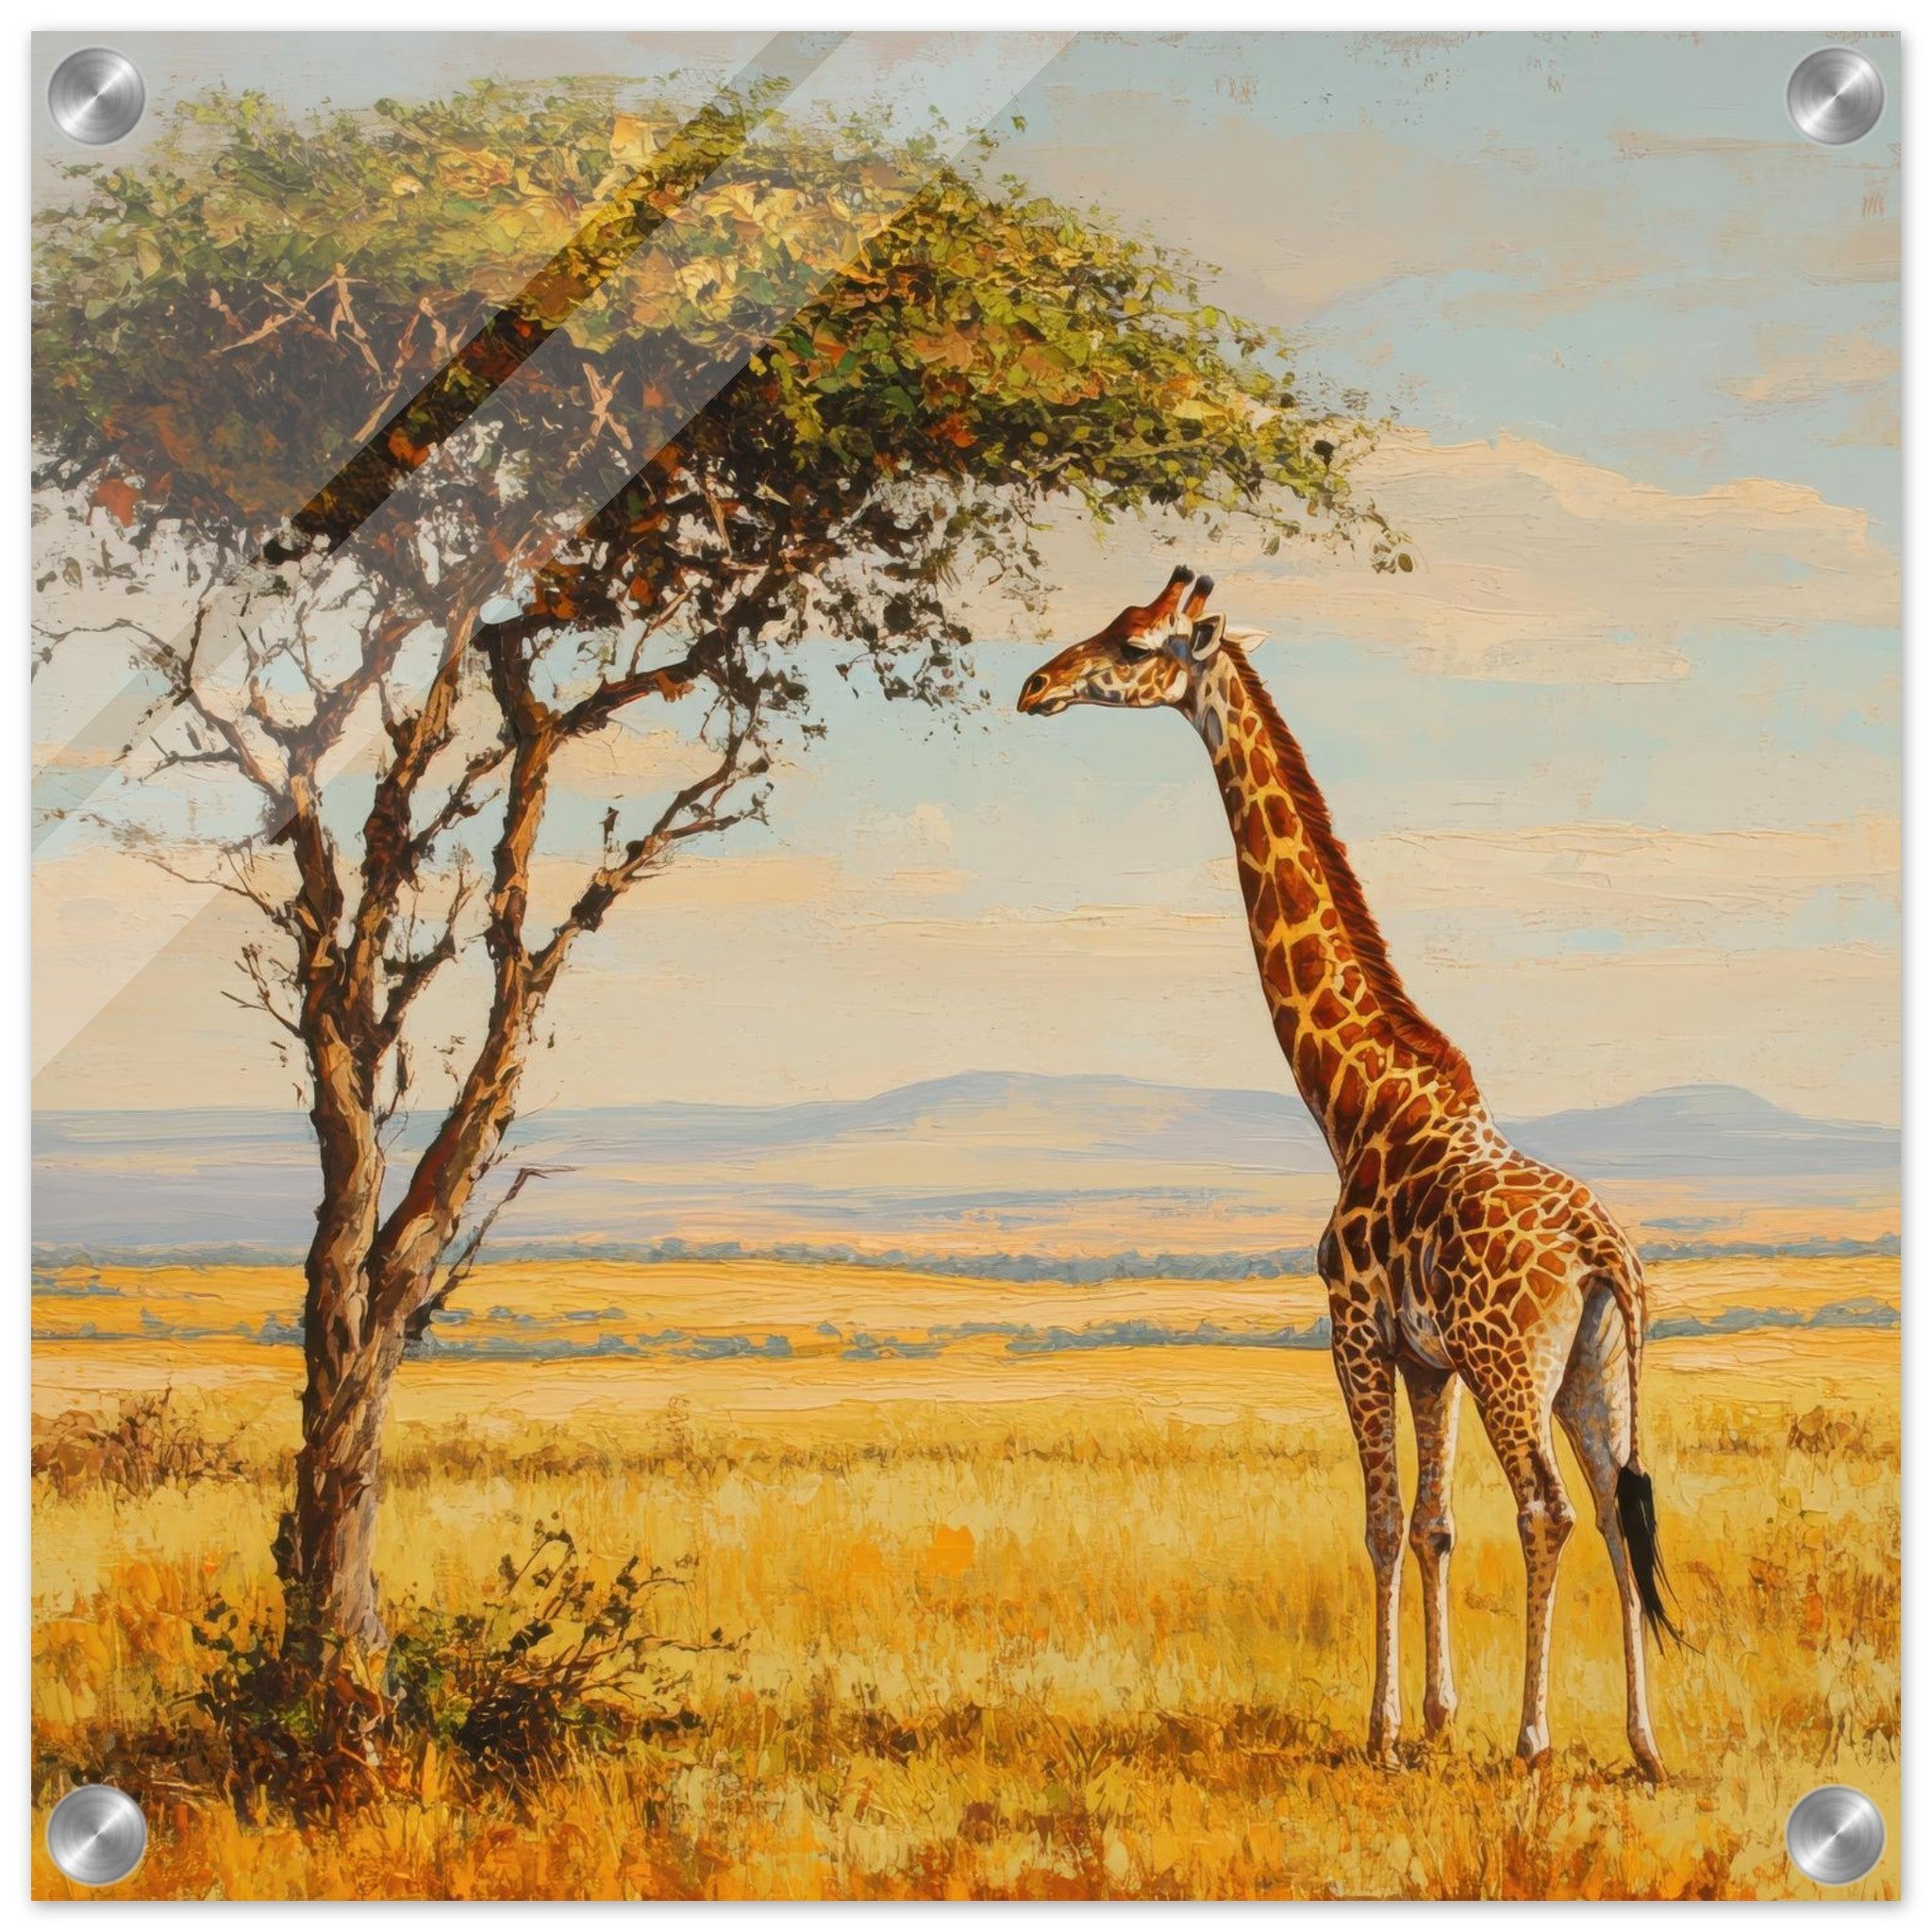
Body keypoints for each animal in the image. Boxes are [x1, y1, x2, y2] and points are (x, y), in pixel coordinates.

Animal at [1018, 565, 1677, 1780]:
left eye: (1132, 641)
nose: (1033, 684)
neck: (1352, 1096)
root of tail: (1605, 1251)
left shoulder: (1354, 1331)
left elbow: (1376, 1523)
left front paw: (1383, 1732)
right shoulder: (1428, 1359)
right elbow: (1431, 1523)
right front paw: (1436, 1716)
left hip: (1515, 1366)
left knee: (1550, 1510)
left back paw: (1535, 1739)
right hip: (1592, 1368)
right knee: (1618, 1509)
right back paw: (1643, 1745)